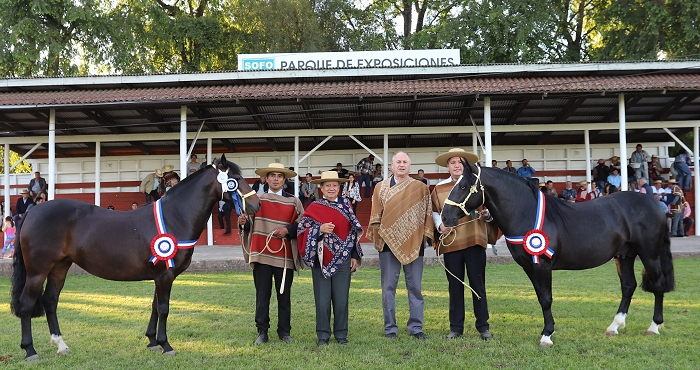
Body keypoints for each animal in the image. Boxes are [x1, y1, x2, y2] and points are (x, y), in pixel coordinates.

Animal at [10, 155, 260, 360]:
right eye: (235, 178)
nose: (256, 204)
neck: (175, 216)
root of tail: (32, 211)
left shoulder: (160, 276)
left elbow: (154, 306)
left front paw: (152, 341)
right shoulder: (165, 275)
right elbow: (163, 308)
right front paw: (166, 345)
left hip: (59, 268)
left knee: (50, 301)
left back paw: (61, 345)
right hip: (37, 271)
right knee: (27, 303)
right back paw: (30, 351)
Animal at [440, 160, 676, 348]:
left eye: (463, 186)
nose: (444, 218)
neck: (526, 212)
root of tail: (655, 203)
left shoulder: (542, 265)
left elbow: (546, 299)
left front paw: (547, 336)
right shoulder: (529, 266)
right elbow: (540, 298)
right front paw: (547, 331)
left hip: (650, 255)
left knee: (657, 285)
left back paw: (654, 327)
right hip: (624, 256)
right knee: (628, 286)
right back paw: (614, 326)